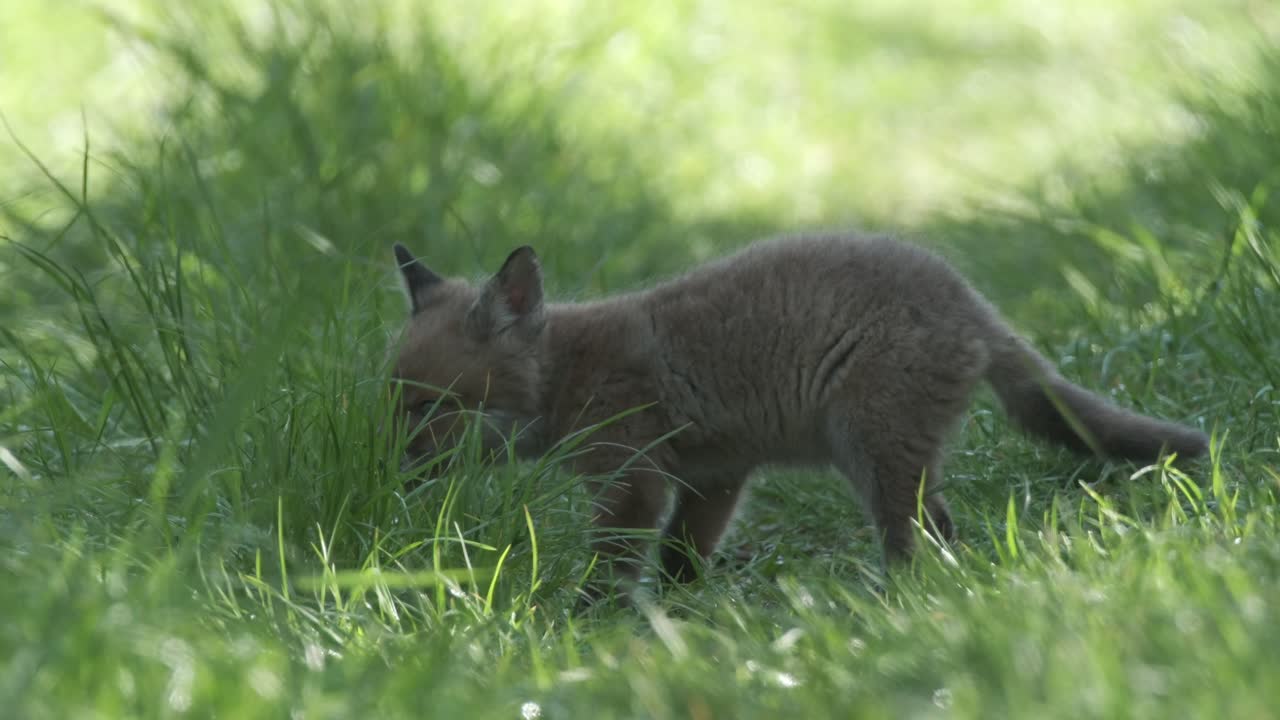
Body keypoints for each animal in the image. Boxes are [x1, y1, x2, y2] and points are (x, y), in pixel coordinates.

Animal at [387, 233, 1209, 603]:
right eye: (394, 405)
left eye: (432, 409)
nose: (399, 479)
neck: (566, 371)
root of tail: (969, 302)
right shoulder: (714, 475)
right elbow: (681, 557)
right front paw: (687, 610)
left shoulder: (633, 479)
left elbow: (615, 561)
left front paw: (585, 620)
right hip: (889, 459)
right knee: (947, 535)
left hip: (872, 453)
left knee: (919, 540)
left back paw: (897, 604)